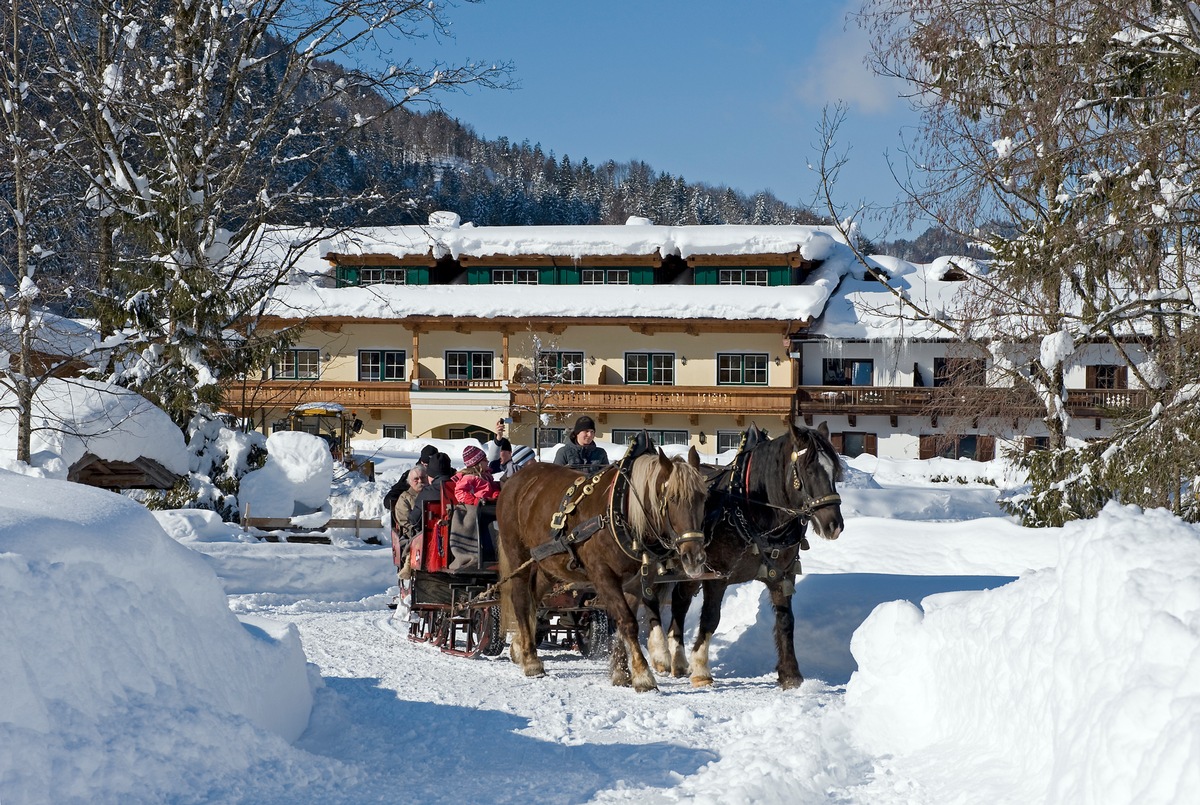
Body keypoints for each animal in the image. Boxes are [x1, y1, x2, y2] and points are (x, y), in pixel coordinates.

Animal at [494, 446, 705, 691]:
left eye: (703, 497)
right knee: (520, 599)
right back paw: (531, 660)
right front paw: (643, 675)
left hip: (548, 564)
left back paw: (519, 645)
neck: (622, 512)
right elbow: (628, 622)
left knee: (534, 598)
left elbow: (623, 623)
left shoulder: (634, 583)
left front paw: (622, 673)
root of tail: (515, 480)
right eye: (672, 498)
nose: (694, 557)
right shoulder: (603, 575)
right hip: (518, 554)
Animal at [648, 422, 844, 691]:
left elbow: (786, 620)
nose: (834, 525)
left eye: (835, 471)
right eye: (809, 470)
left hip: (691, 568)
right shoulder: (717, 578)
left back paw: (677, 659)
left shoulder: (782, 576)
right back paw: (662, 656)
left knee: (680, 600)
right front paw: (701, 670)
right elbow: (710, 618)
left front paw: (790, 673)